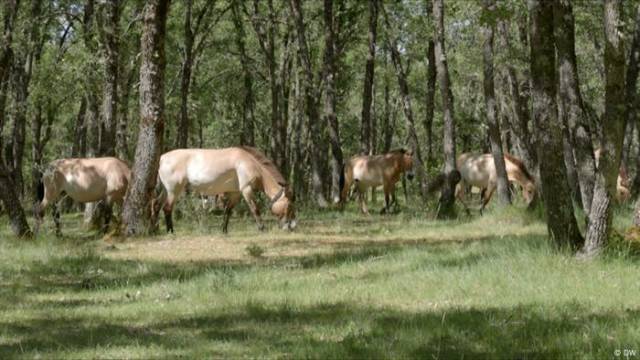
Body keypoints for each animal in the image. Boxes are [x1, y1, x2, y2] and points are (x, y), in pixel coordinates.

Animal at [156, 146, 296, 233]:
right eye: (289, 206)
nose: (292, 226)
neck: (250, 162)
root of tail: (162, 158)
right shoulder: (246, 190)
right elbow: (255, 209)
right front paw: (262, 228)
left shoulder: (236, 194)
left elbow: (227, 211)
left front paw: (224, 230)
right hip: (173, 191)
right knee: (167, 208)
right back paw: (171, 231)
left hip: (165, 192)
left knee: (158, 206)